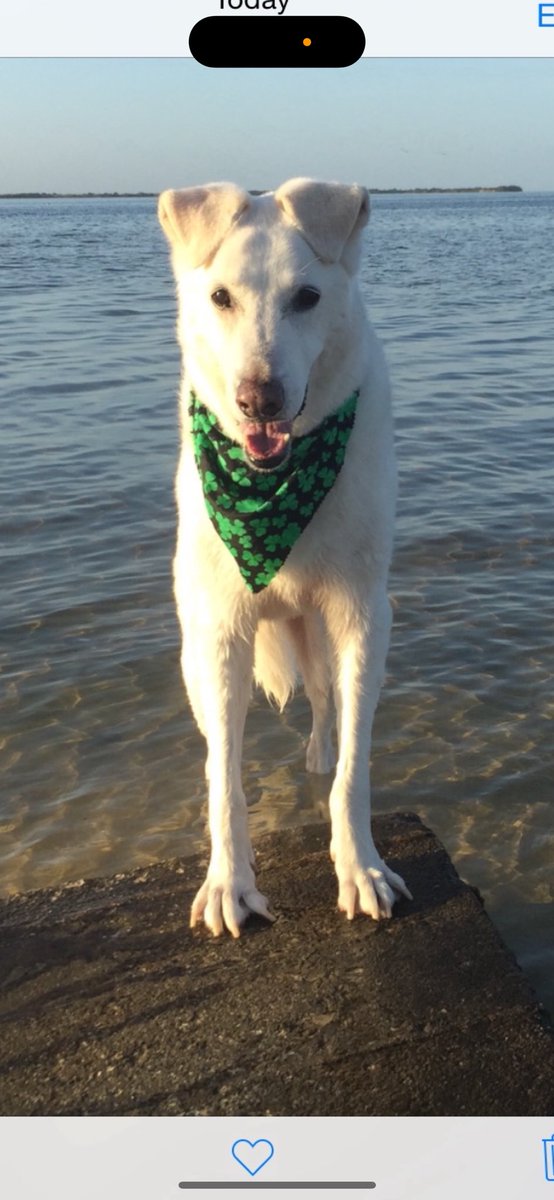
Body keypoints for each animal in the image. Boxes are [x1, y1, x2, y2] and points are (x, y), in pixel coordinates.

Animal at [158, 177, 410, 936]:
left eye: (307, 297)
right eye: (220, 297)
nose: (258, 400)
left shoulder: (363, 618)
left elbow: (355, 765)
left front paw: (359, 867)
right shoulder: (218, 635)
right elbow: (224, 783)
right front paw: (228, 883)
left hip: (320, 633)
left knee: (327, 708)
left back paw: (318, 755)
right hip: (198, 656)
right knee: (223, 742)